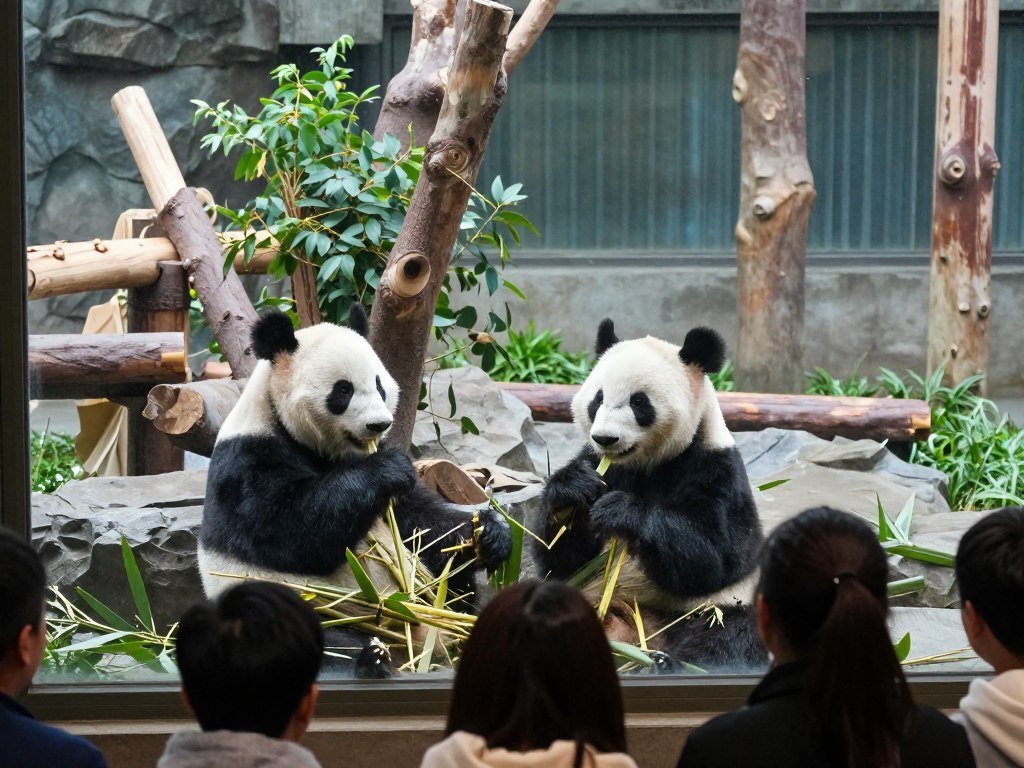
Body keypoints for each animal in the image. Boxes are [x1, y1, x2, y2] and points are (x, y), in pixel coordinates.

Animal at [199, 307, 512, 674]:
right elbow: (290, 531)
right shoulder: (247, 462)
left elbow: (420, 526)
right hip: (304, 610)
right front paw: (387, 469)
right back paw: (370, 657)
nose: (378, 424)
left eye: (379, 385)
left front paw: (490, 533)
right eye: (343, 390)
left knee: (454, 586)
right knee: (324, 645)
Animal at [537, 318, 765, 671]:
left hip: (713, 607)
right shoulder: (599, 462)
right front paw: (572, 491)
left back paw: (663, 663)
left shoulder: (716, 469)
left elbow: (714, 555)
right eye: (597, 398)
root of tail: (635, 632)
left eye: (639, 402)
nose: (605, 438)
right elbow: (561, 560)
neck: (647, 464)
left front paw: (621, 511)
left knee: (726, 638)